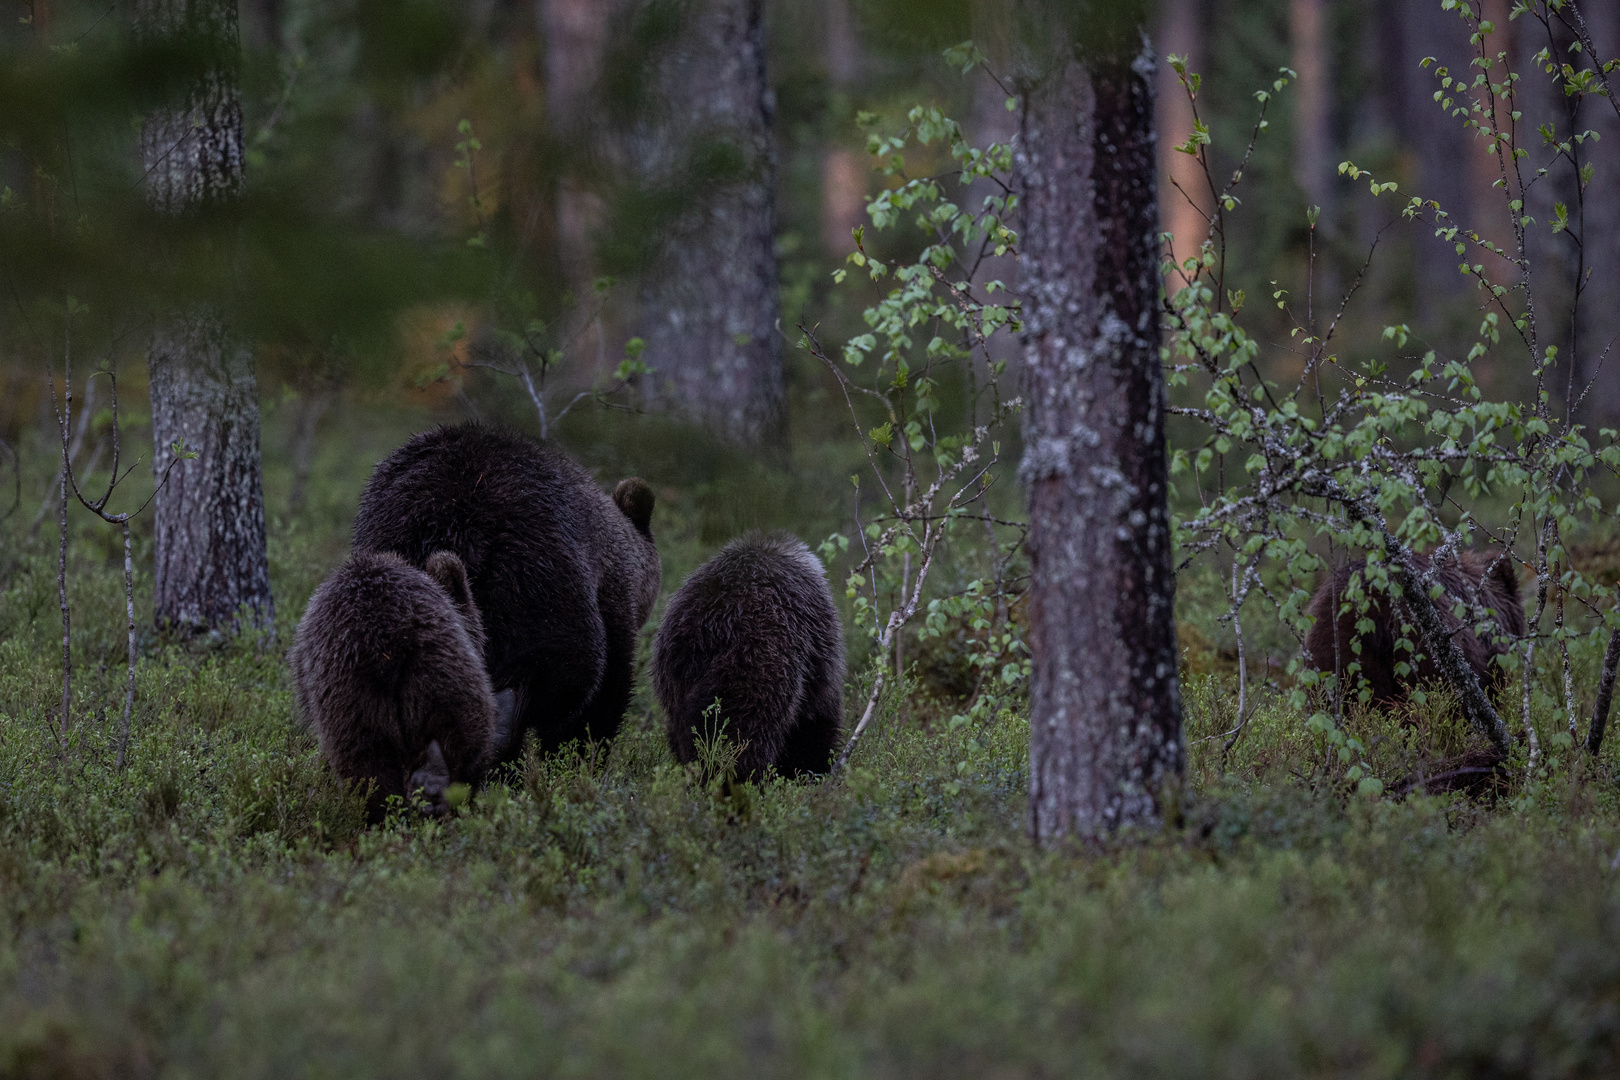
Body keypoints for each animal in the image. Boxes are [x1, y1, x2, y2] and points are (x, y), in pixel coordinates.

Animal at [651, 531, 848, 777]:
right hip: (752, 667)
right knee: (741, 734)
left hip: (673, 677)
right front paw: (812, 766)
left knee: (684, 733)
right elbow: (817, 716)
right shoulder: (817, 643)